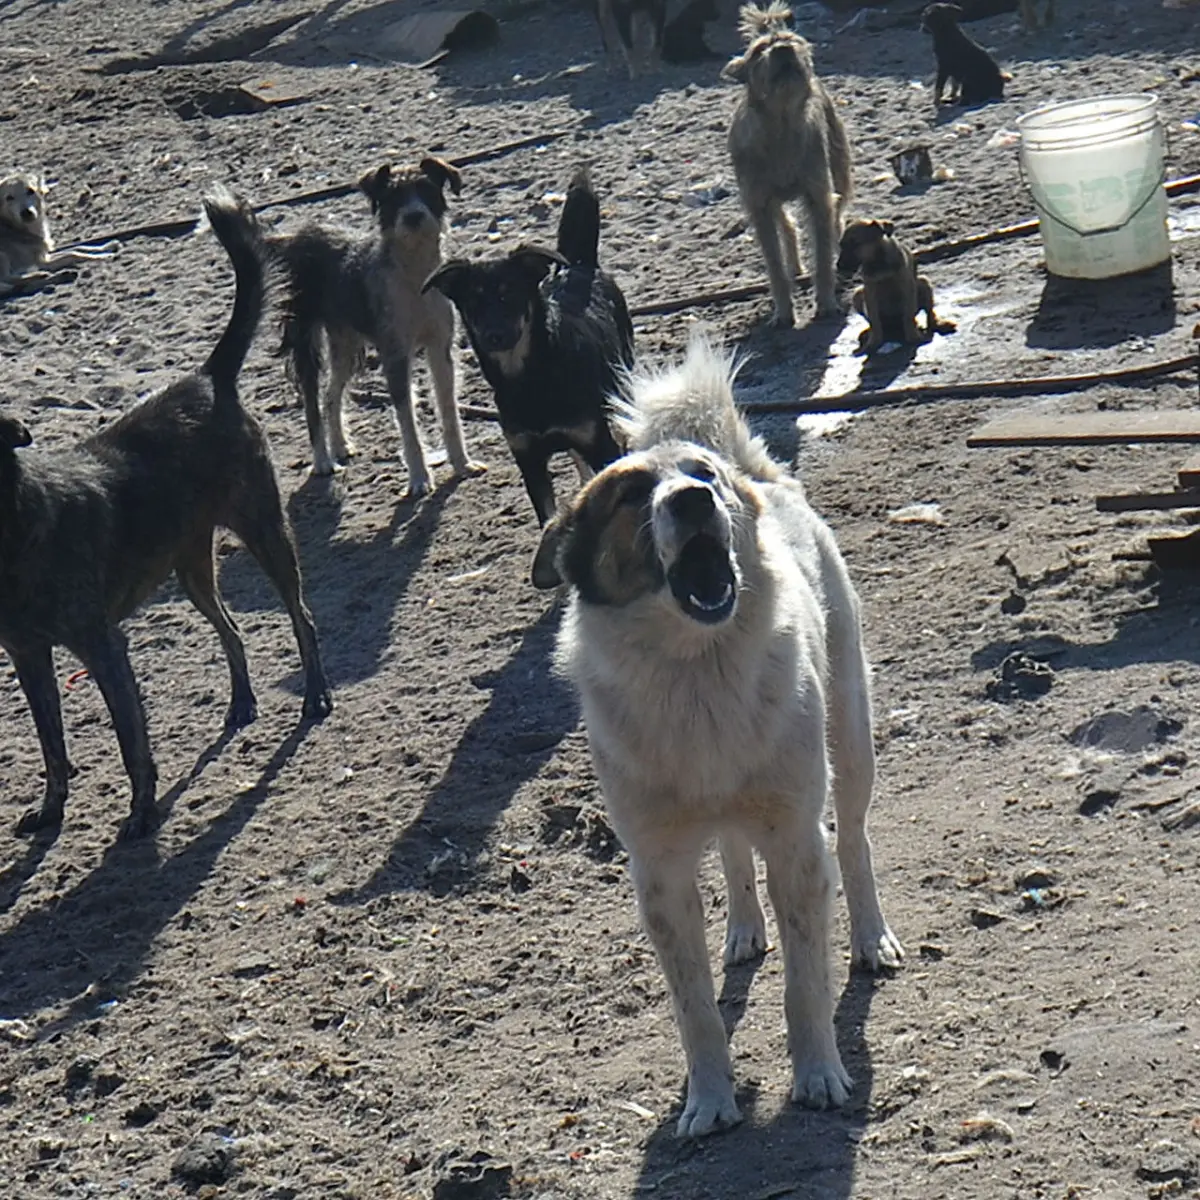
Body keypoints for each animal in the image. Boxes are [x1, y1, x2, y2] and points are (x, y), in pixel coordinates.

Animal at [0, 187, 331, 844]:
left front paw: (142, 813)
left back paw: (314, 698)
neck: (16, 530)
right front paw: (52, 812)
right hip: (192, 570)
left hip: (265, 532)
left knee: (301, 614)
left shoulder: (103, 647)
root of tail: (210, 376)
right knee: (230, 629)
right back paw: (241, 704)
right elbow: (53, 747)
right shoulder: (28, 657)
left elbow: (131, 742)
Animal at [427, 169, 638, 530]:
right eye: (473, 303)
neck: (528, 378)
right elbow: (547, 515)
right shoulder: (528, 458)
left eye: (509, 294)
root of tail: (579, 265)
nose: (494, 335)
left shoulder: (599, 443)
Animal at [720, 2, 854, 326]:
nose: (782, 49)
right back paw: (795, 267)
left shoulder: (818, 195)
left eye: (793, 41)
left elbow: (822, 252)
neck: (780, 127)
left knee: (837, 214)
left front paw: (826, 302)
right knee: (788, 226)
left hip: (839, 170)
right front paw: (783, 312)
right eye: (759, 51)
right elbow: (775, 266)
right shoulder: (759, 204)